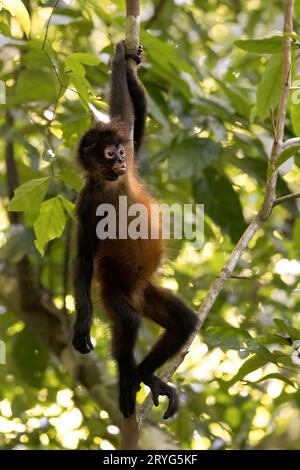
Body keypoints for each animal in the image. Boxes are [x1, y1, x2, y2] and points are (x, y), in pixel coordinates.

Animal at [72, 41, 198, 418]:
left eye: (120, 152)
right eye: (108, 155)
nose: (121, 161)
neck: (112, 184)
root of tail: (134, 294)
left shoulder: (128, 142)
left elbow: (130, 118)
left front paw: (123, 63)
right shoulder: (87, 201)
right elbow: (84, 255)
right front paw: (81, 321)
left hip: (146, 292)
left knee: (185, 322)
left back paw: (145, 375)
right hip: (112, 293)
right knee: (127, 323)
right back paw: (129, 378)